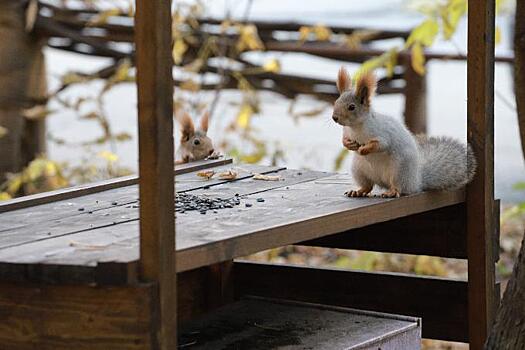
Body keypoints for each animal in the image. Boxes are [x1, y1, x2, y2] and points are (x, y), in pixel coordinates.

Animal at [334, 65, 476, 197]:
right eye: (336, 102)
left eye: (351, 107)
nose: (334, 118)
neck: (356, 127)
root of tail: (416, 182)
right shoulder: (346, 131)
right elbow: (344, 140)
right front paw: (349, 144)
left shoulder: (382, 133)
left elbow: (380, 145)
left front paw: (364, 149)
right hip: (359, 170)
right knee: (368, 186)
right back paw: (357, 191)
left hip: (399, 170)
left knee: (398, 188)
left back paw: (391, 192)